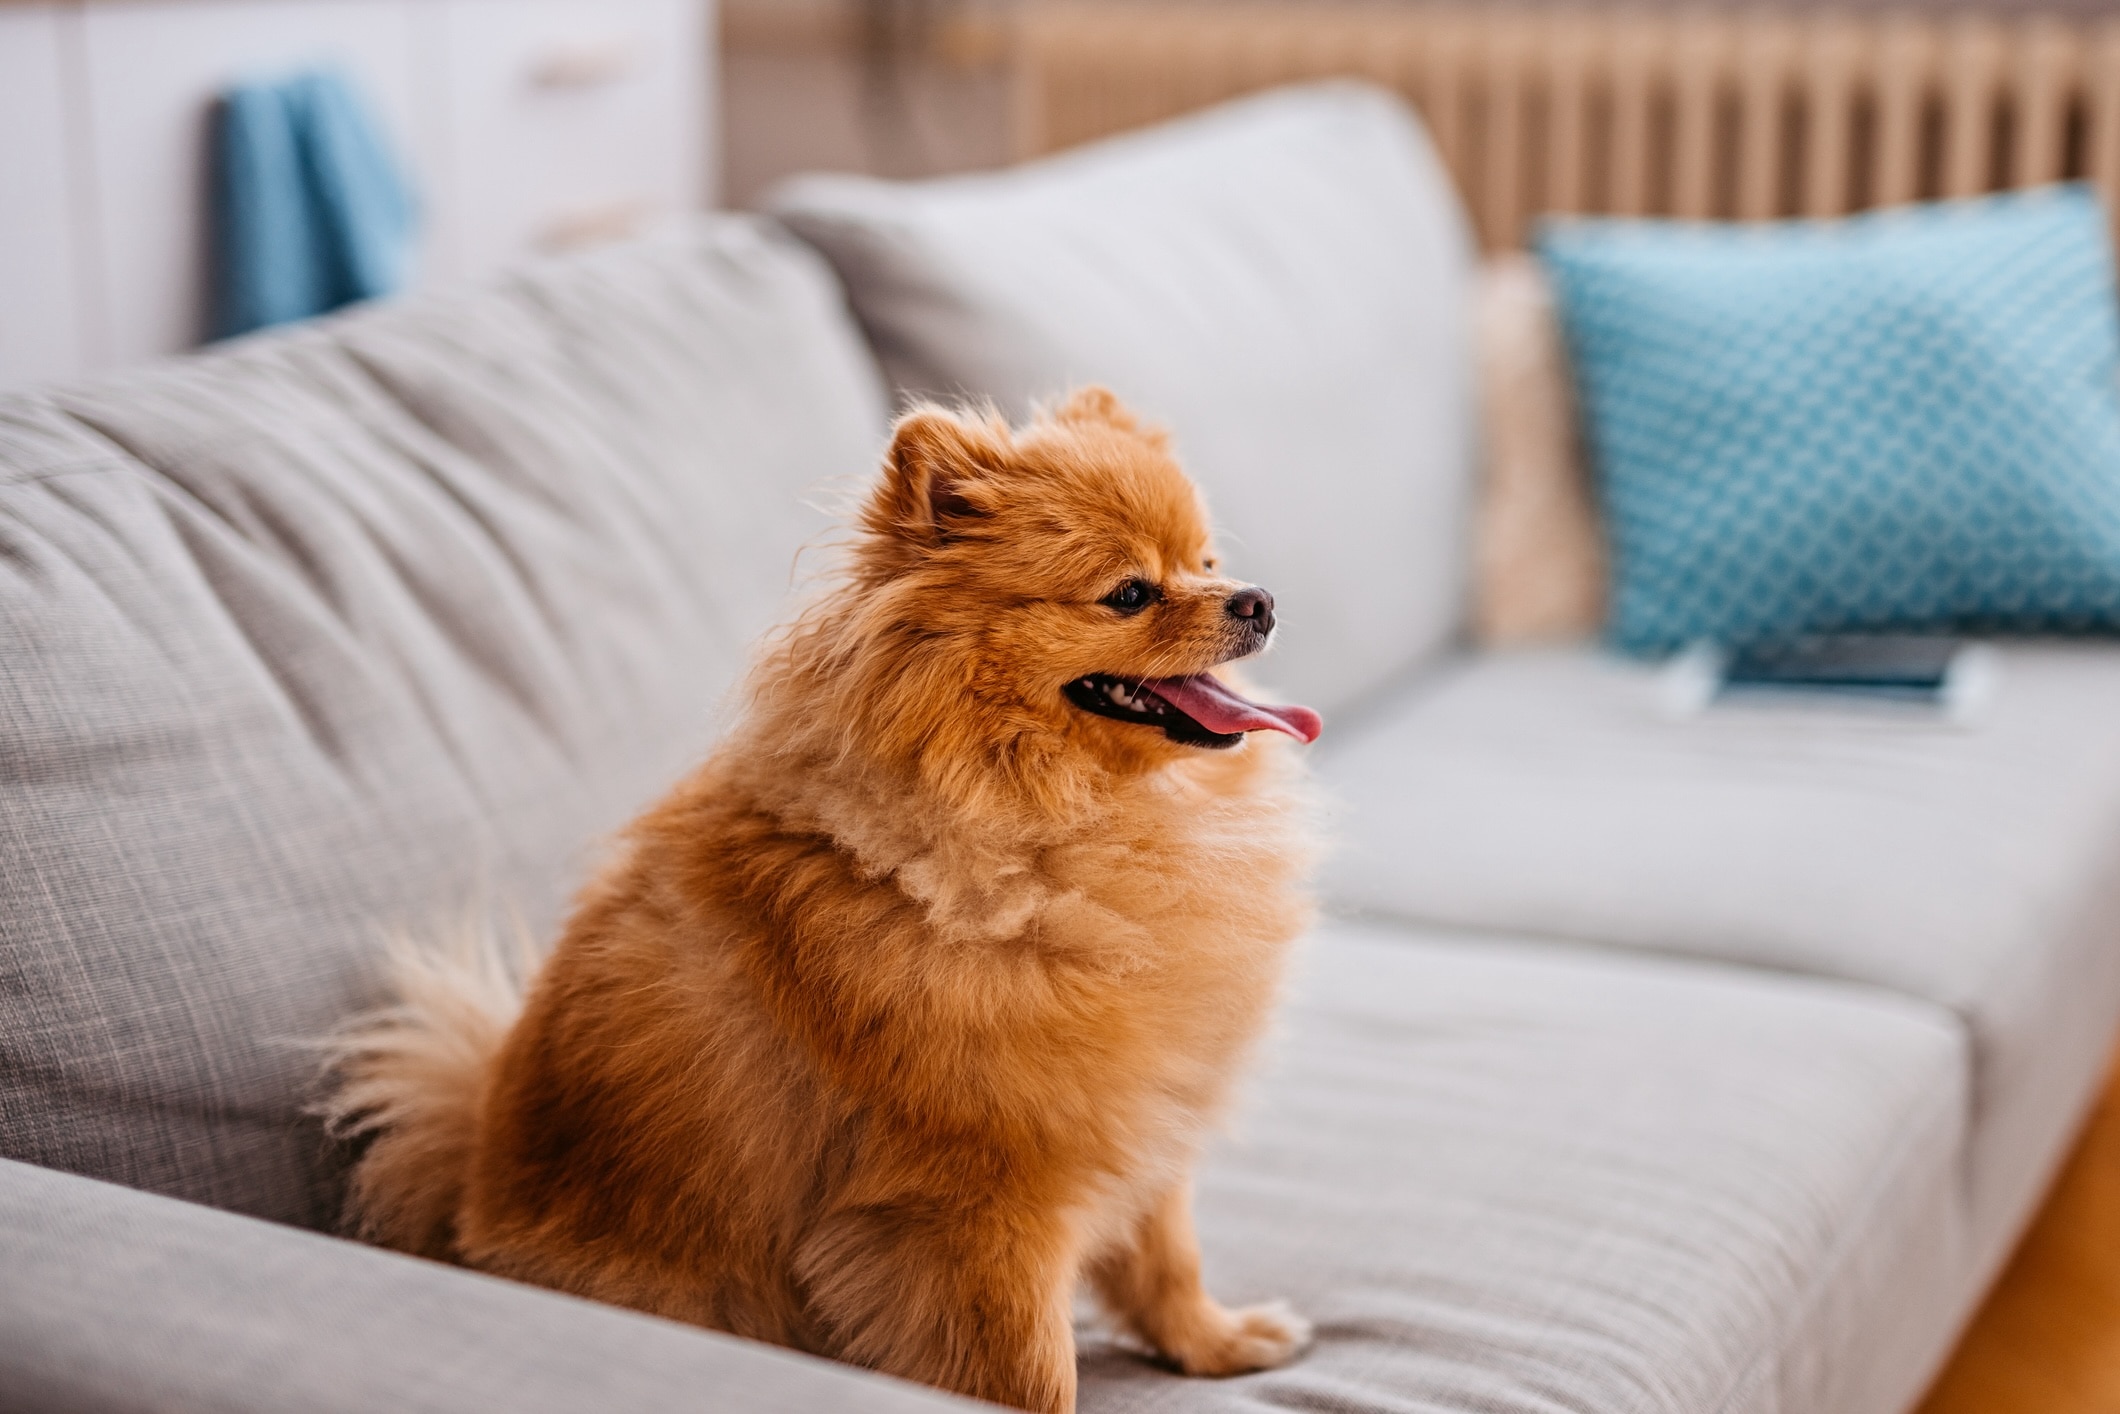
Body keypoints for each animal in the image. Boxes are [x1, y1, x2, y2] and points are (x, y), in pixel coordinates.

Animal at [324, 387, 1322, 1414]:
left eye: (1208, 563)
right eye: (1129, 593)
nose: (1257, 600)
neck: (1059, 826)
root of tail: (466, 1201)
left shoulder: (1146, 1111)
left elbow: (1167, 1258)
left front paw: (1216, 1342)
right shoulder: (978, 1204)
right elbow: (1032, 1371)